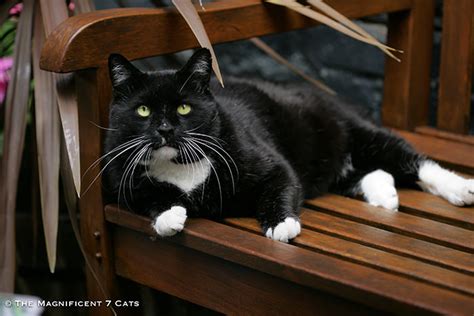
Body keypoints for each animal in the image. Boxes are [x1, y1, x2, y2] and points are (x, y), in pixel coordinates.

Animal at [103, 48, 474, 242]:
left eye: (183, 108)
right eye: (143, 110)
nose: (165, 130)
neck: (180, 165)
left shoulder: (268, 161)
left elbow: (280, 183)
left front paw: (281, 225)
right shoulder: (122, 177)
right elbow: (147, 199)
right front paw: (168, 216)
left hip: (358, 132)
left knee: (415, 161)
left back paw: (461, 188)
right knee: (369, 172)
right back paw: (385, 194)